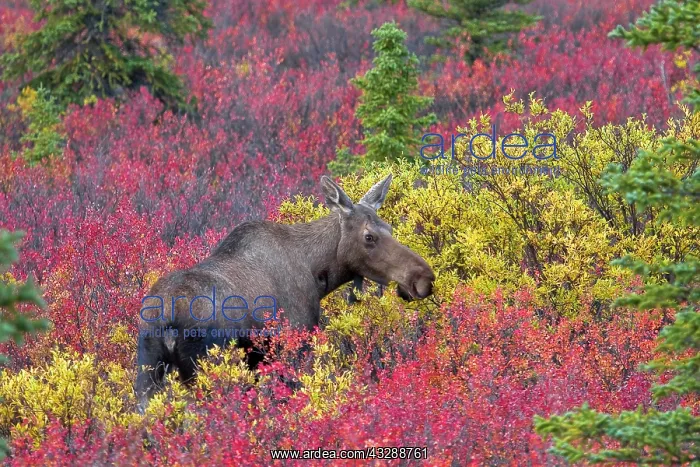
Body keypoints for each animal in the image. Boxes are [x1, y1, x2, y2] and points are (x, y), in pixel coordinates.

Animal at [135, 174, 435, 410]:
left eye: (390, 228)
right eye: (369, 236)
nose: (423, 278)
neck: (319, 274)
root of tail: (167, 319)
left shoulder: (256, 359)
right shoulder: (294, 345)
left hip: (147, 373)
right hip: (205, 368)